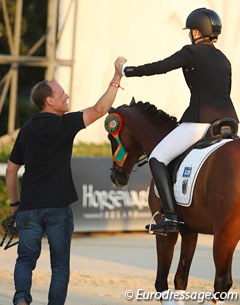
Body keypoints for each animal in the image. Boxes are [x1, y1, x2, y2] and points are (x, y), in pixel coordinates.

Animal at [104, 98, 240, 302]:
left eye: (111, 138)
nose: (116, 177)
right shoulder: (190, 231)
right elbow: (181, 279)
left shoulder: (166, 233)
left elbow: (161, 282)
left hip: (225, 234)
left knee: (221, 284)